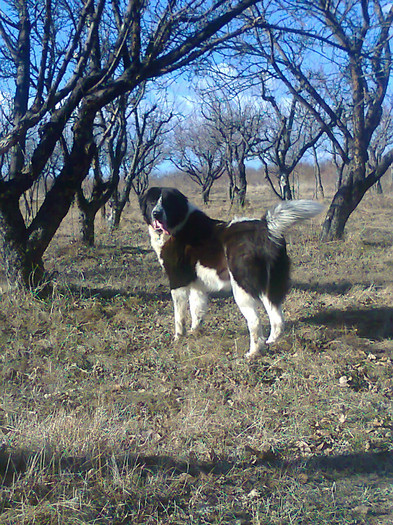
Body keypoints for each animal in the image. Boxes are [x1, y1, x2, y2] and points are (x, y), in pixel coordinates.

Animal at [138, 186, 322, 358]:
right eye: (152, 202)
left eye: (167, 202)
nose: (156, 214)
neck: (179, 223)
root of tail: (265, 227)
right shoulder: (197, 285)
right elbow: (197, 311)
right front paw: (194, 332)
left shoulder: (177, 282)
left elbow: (179, 316)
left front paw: (178, 338)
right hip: (269, 287)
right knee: (277, 319)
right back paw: (270, 341)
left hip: (242, 289)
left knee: (255, 322)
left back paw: (253, 353)